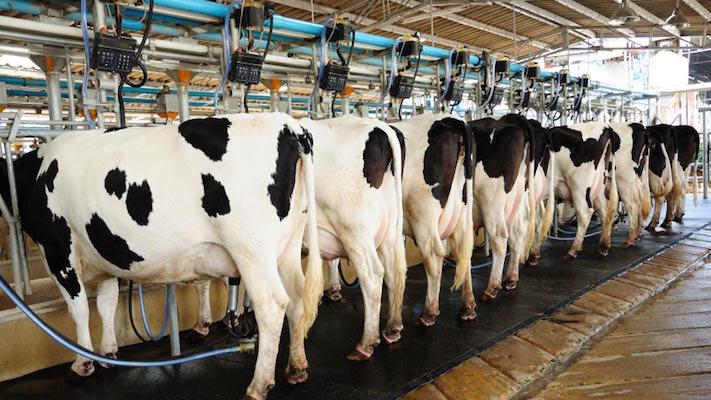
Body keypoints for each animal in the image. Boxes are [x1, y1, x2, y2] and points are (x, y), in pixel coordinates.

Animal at [2, 113, 322, 400]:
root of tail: (289, 125)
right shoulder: (105, 256)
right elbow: (106, 305)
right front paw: (109, 353)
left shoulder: (58, 252)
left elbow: (79, 310)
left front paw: (83, 364)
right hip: (288, 246)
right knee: (297, 299)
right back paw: (296, 368)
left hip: (252, 249)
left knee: (272, 305)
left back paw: (258, 385)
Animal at [392, 114, 475, 326]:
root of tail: (448, 120)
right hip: (461, 212)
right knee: (463, 252)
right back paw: (468, 307)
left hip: (423, 215)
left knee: (433, 256)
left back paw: (429, 312)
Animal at [468, 116, 536, 300]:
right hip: (516, 199)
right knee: (517, 233)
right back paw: (511, 278)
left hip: (492, 200)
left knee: (500, 237)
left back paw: (491, 288)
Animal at [548, 122, 619, 259]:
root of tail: (605, 127)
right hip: (598, 185)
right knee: (604, 210)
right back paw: (604, 246)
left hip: (579, 186)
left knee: (585, 212)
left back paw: (573, 250)